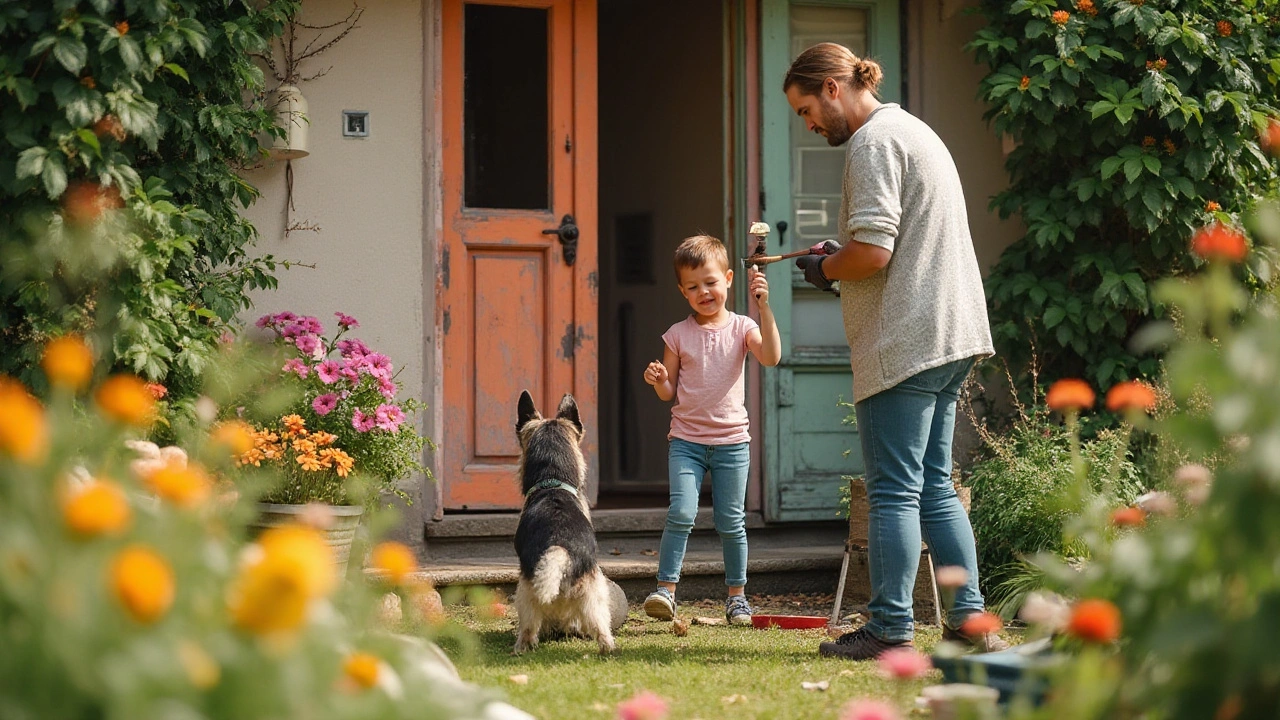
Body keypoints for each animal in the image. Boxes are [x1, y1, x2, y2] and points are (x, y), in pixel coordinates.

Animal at [509, 389, 614, 653]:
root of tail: (559, 551)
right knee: (601, 629)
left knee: (529, 629)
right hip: (593, 594)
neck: (552, 482)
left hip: (527, 591)